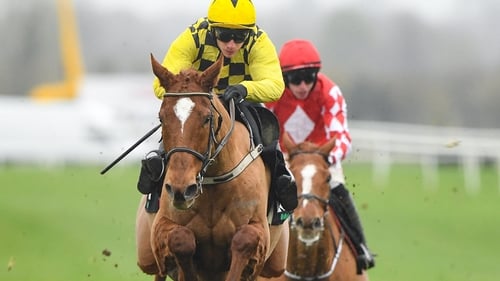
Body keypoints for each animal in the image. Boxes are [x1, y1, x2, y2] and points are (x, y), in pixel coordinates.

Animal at [143, 53, 288, 278]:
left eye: (207, 118)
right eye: (162, 117)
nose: (181, 189)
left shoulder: (261, 232)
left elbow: (244, 239)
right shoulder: (162, 225)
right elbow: (181, 239)